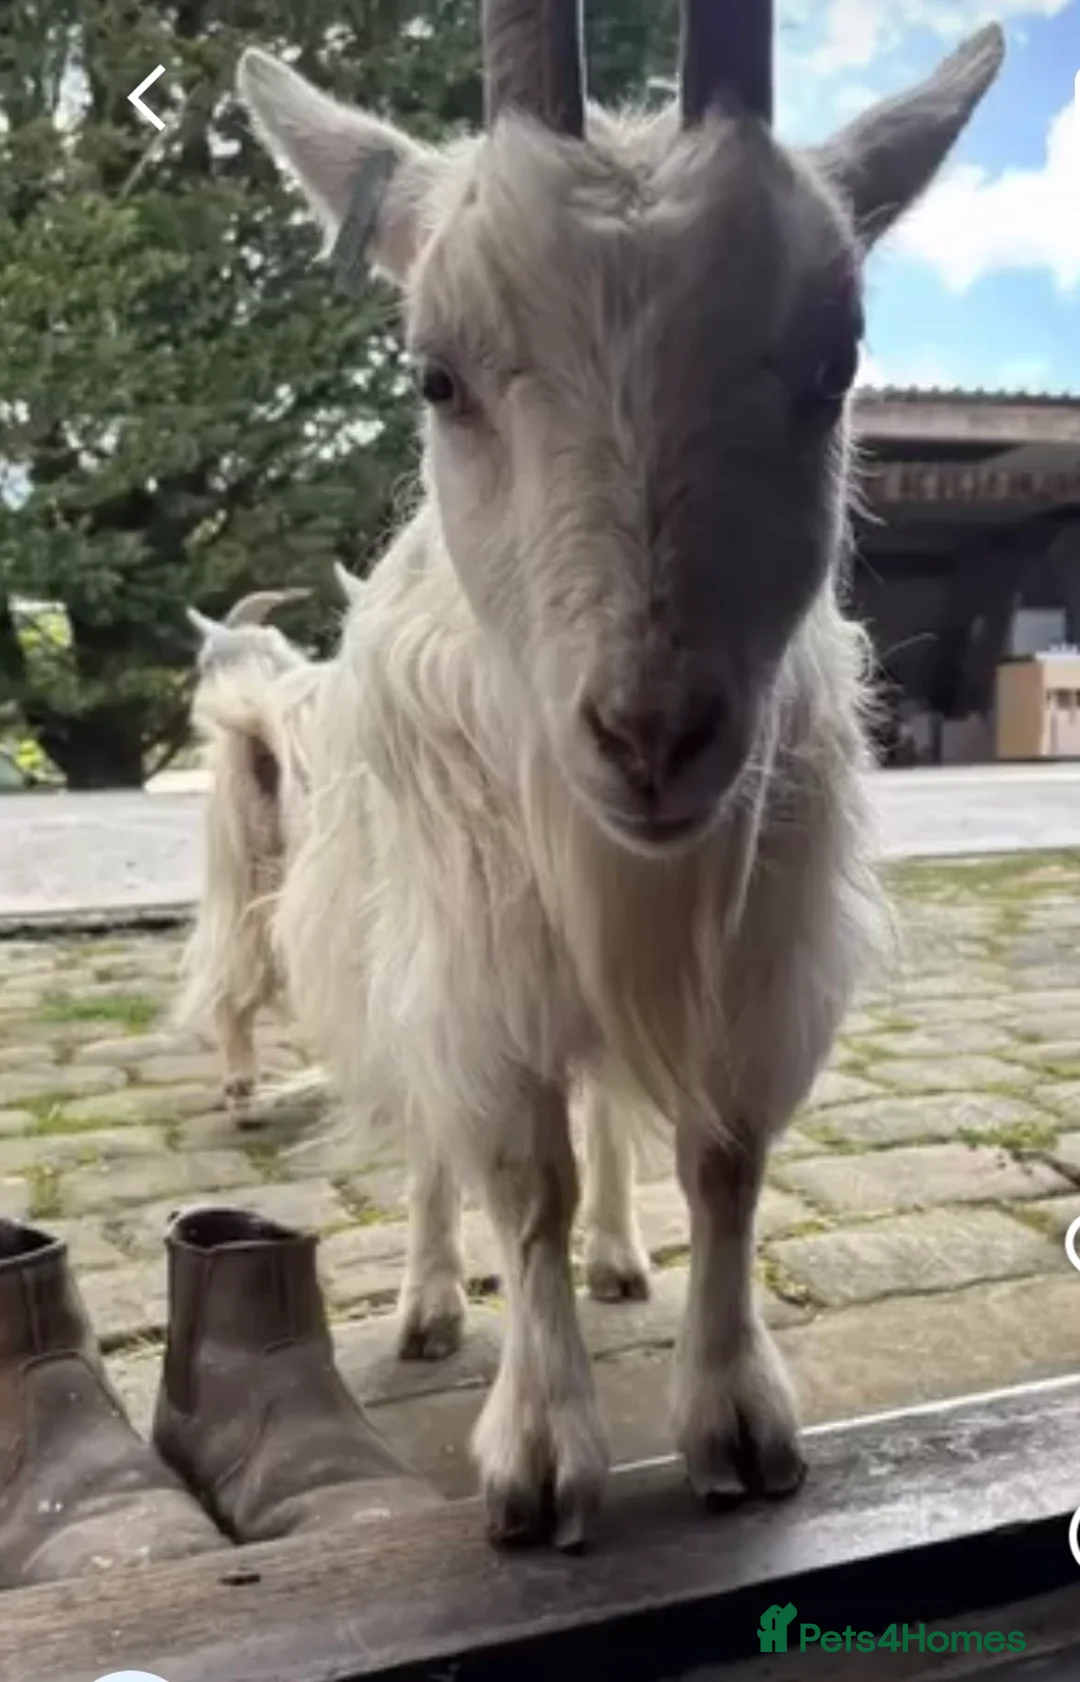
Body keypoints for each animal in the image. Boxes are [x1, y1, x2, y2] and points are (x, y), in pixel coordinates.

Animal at [238, 0, 1003, 1549]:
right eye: (436, 375)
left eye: (836, 364)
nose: (650, 735)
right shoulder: (475, 942)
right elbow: (516, 1169)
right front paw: (538, 1457)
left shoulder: (759, 934)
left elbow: (723, 1153)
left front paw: (737, 1420)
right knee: (439, 1140)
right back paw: (427, 1302)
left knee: (602, 1112)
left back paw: (618, 1255)